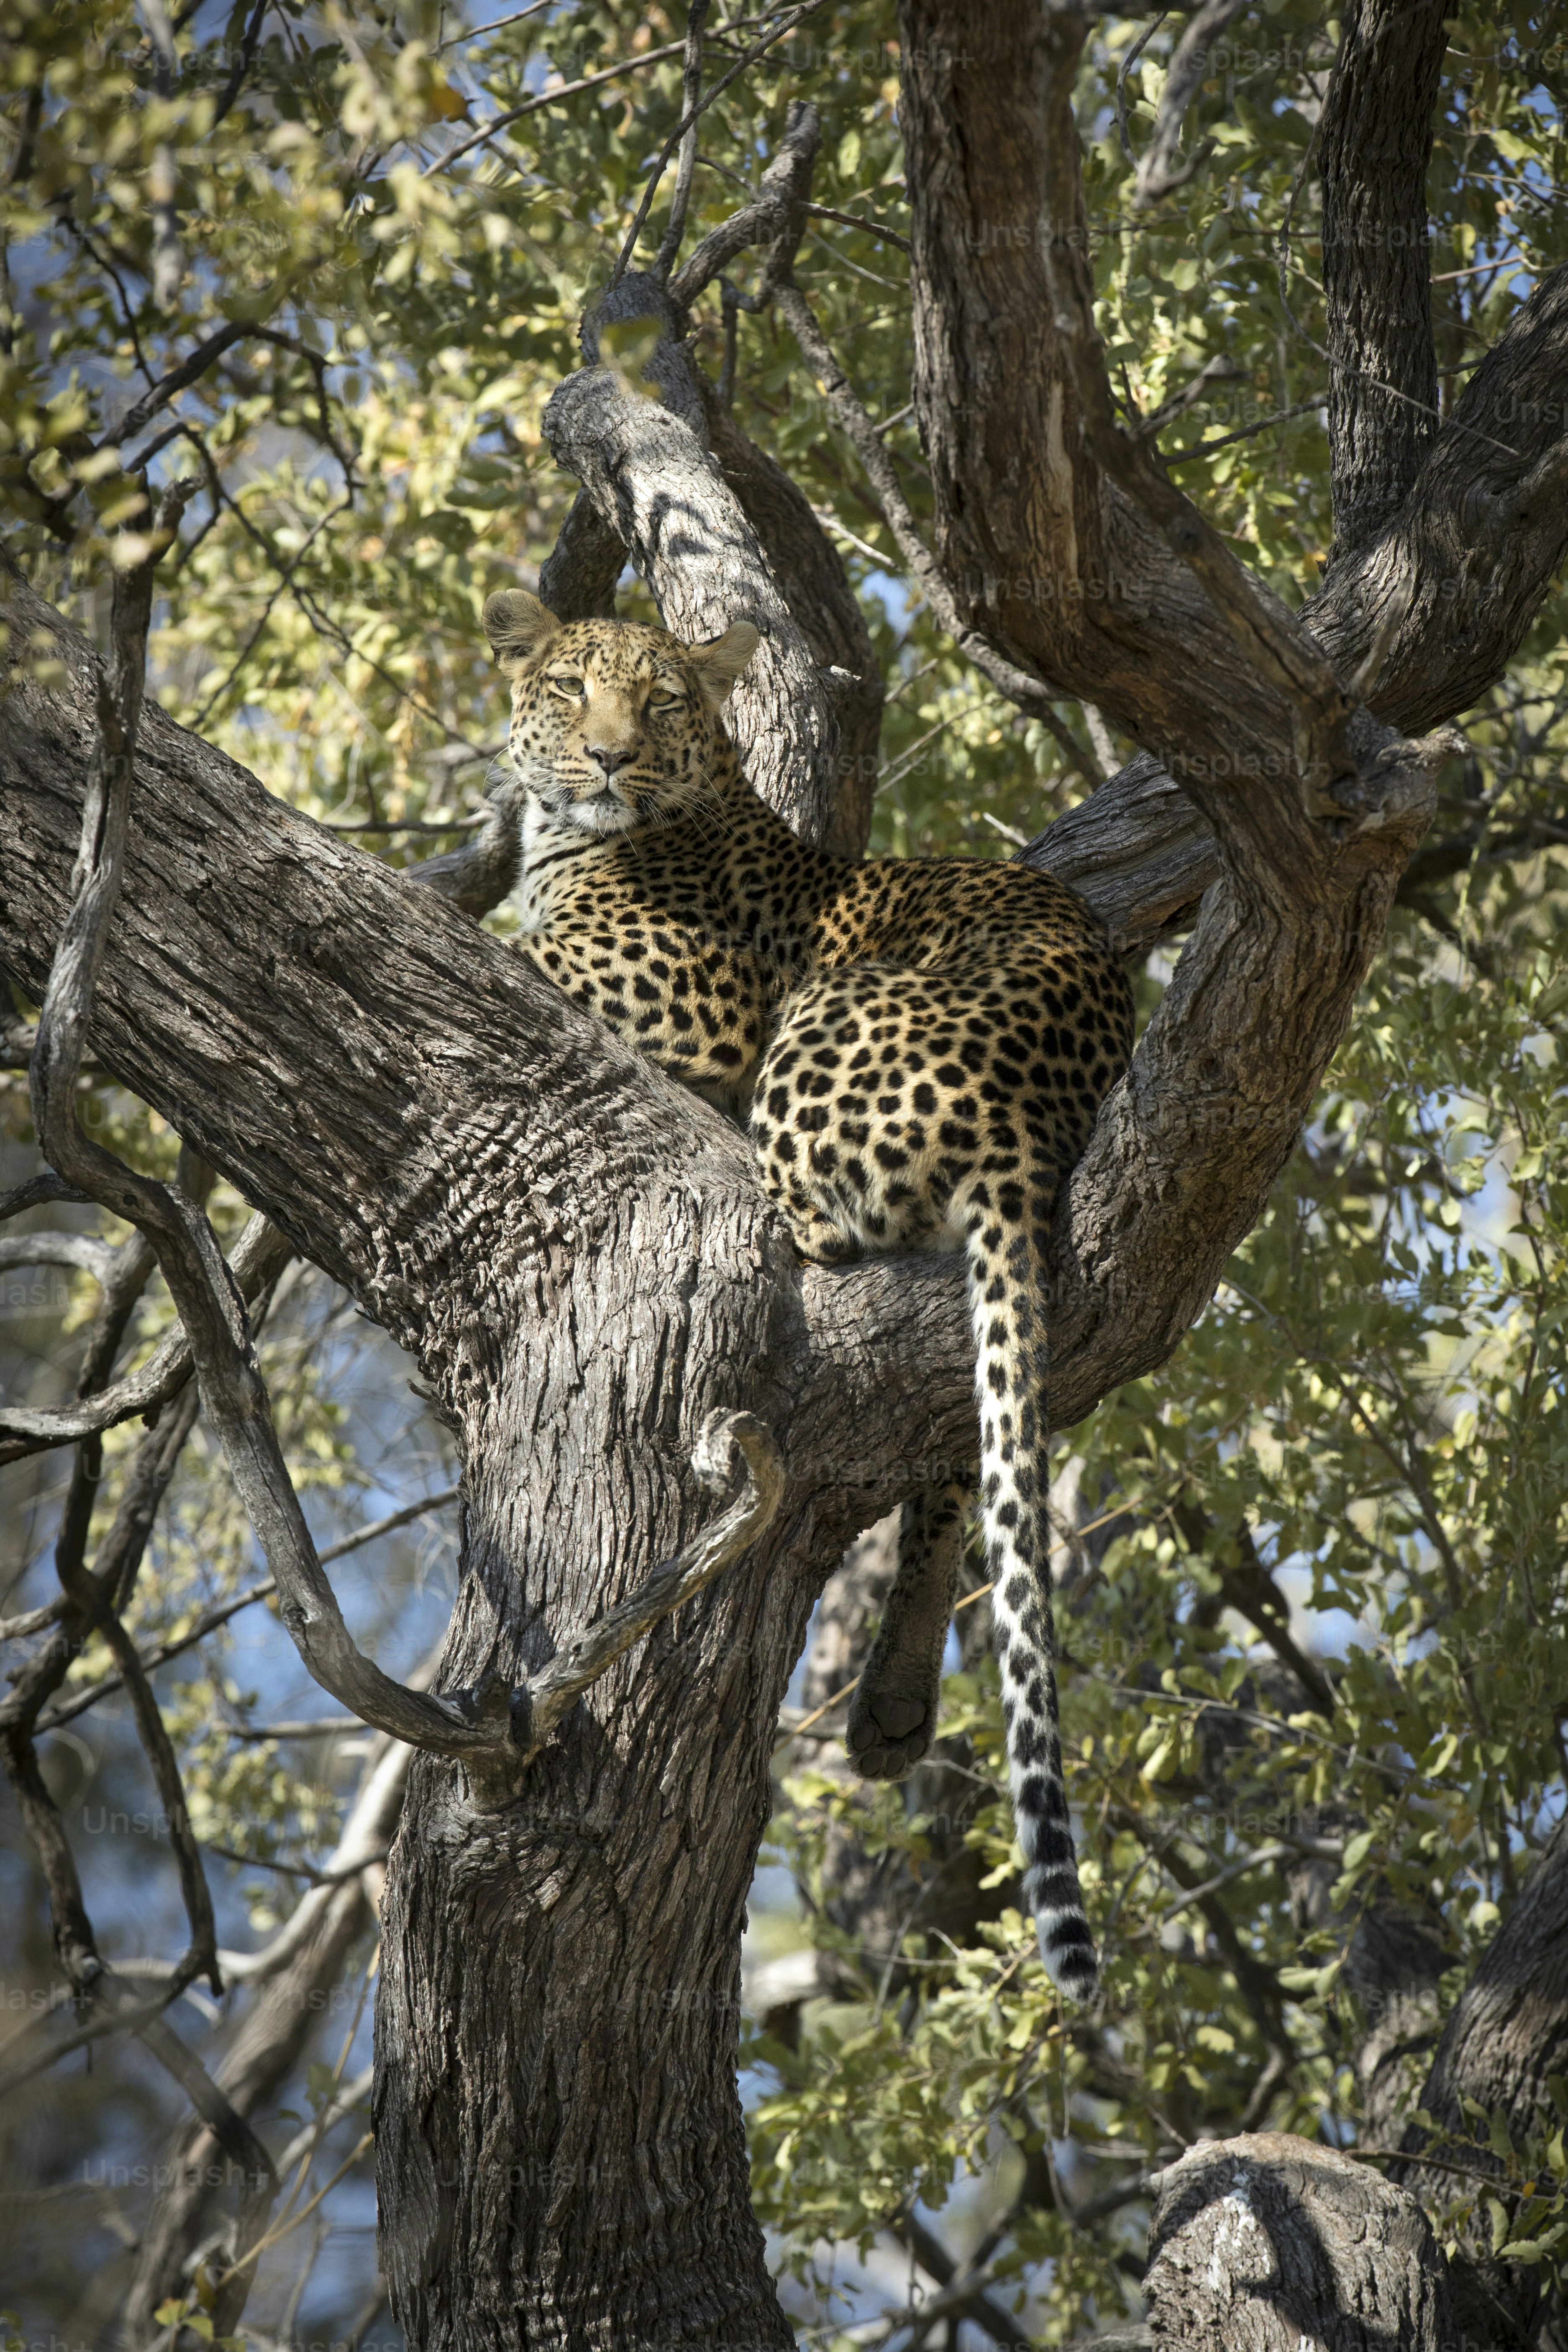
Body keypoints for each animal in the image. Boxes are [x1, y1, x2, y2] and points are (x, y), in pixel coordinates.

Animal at [482, 587, 1133, 2002]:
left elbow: (527, 937)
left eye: (661, 698)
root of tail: (1029, 1118)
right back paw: (893, 1702)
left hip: (810, 1027)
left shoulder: (709, 997)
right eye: (568, 687)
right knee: (954, 1448)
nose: (609, 758)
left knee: (817, 1237)